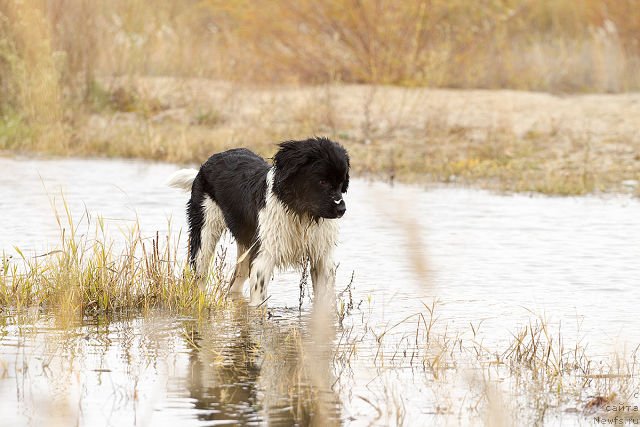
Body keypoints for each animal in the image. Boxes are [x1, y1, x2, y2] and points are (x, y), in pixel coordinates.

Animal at [165, 139, 350, 306]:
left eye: (342, 183)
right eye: (322, 181)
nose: (342, 209)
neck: (299, 212)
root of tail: (207, 164)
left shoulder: (322, 256)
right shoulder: (264, 255)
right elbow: (259, 300)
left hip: (245, 245)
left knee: (236, 281)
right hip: (205, 232)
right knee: (200, 274)